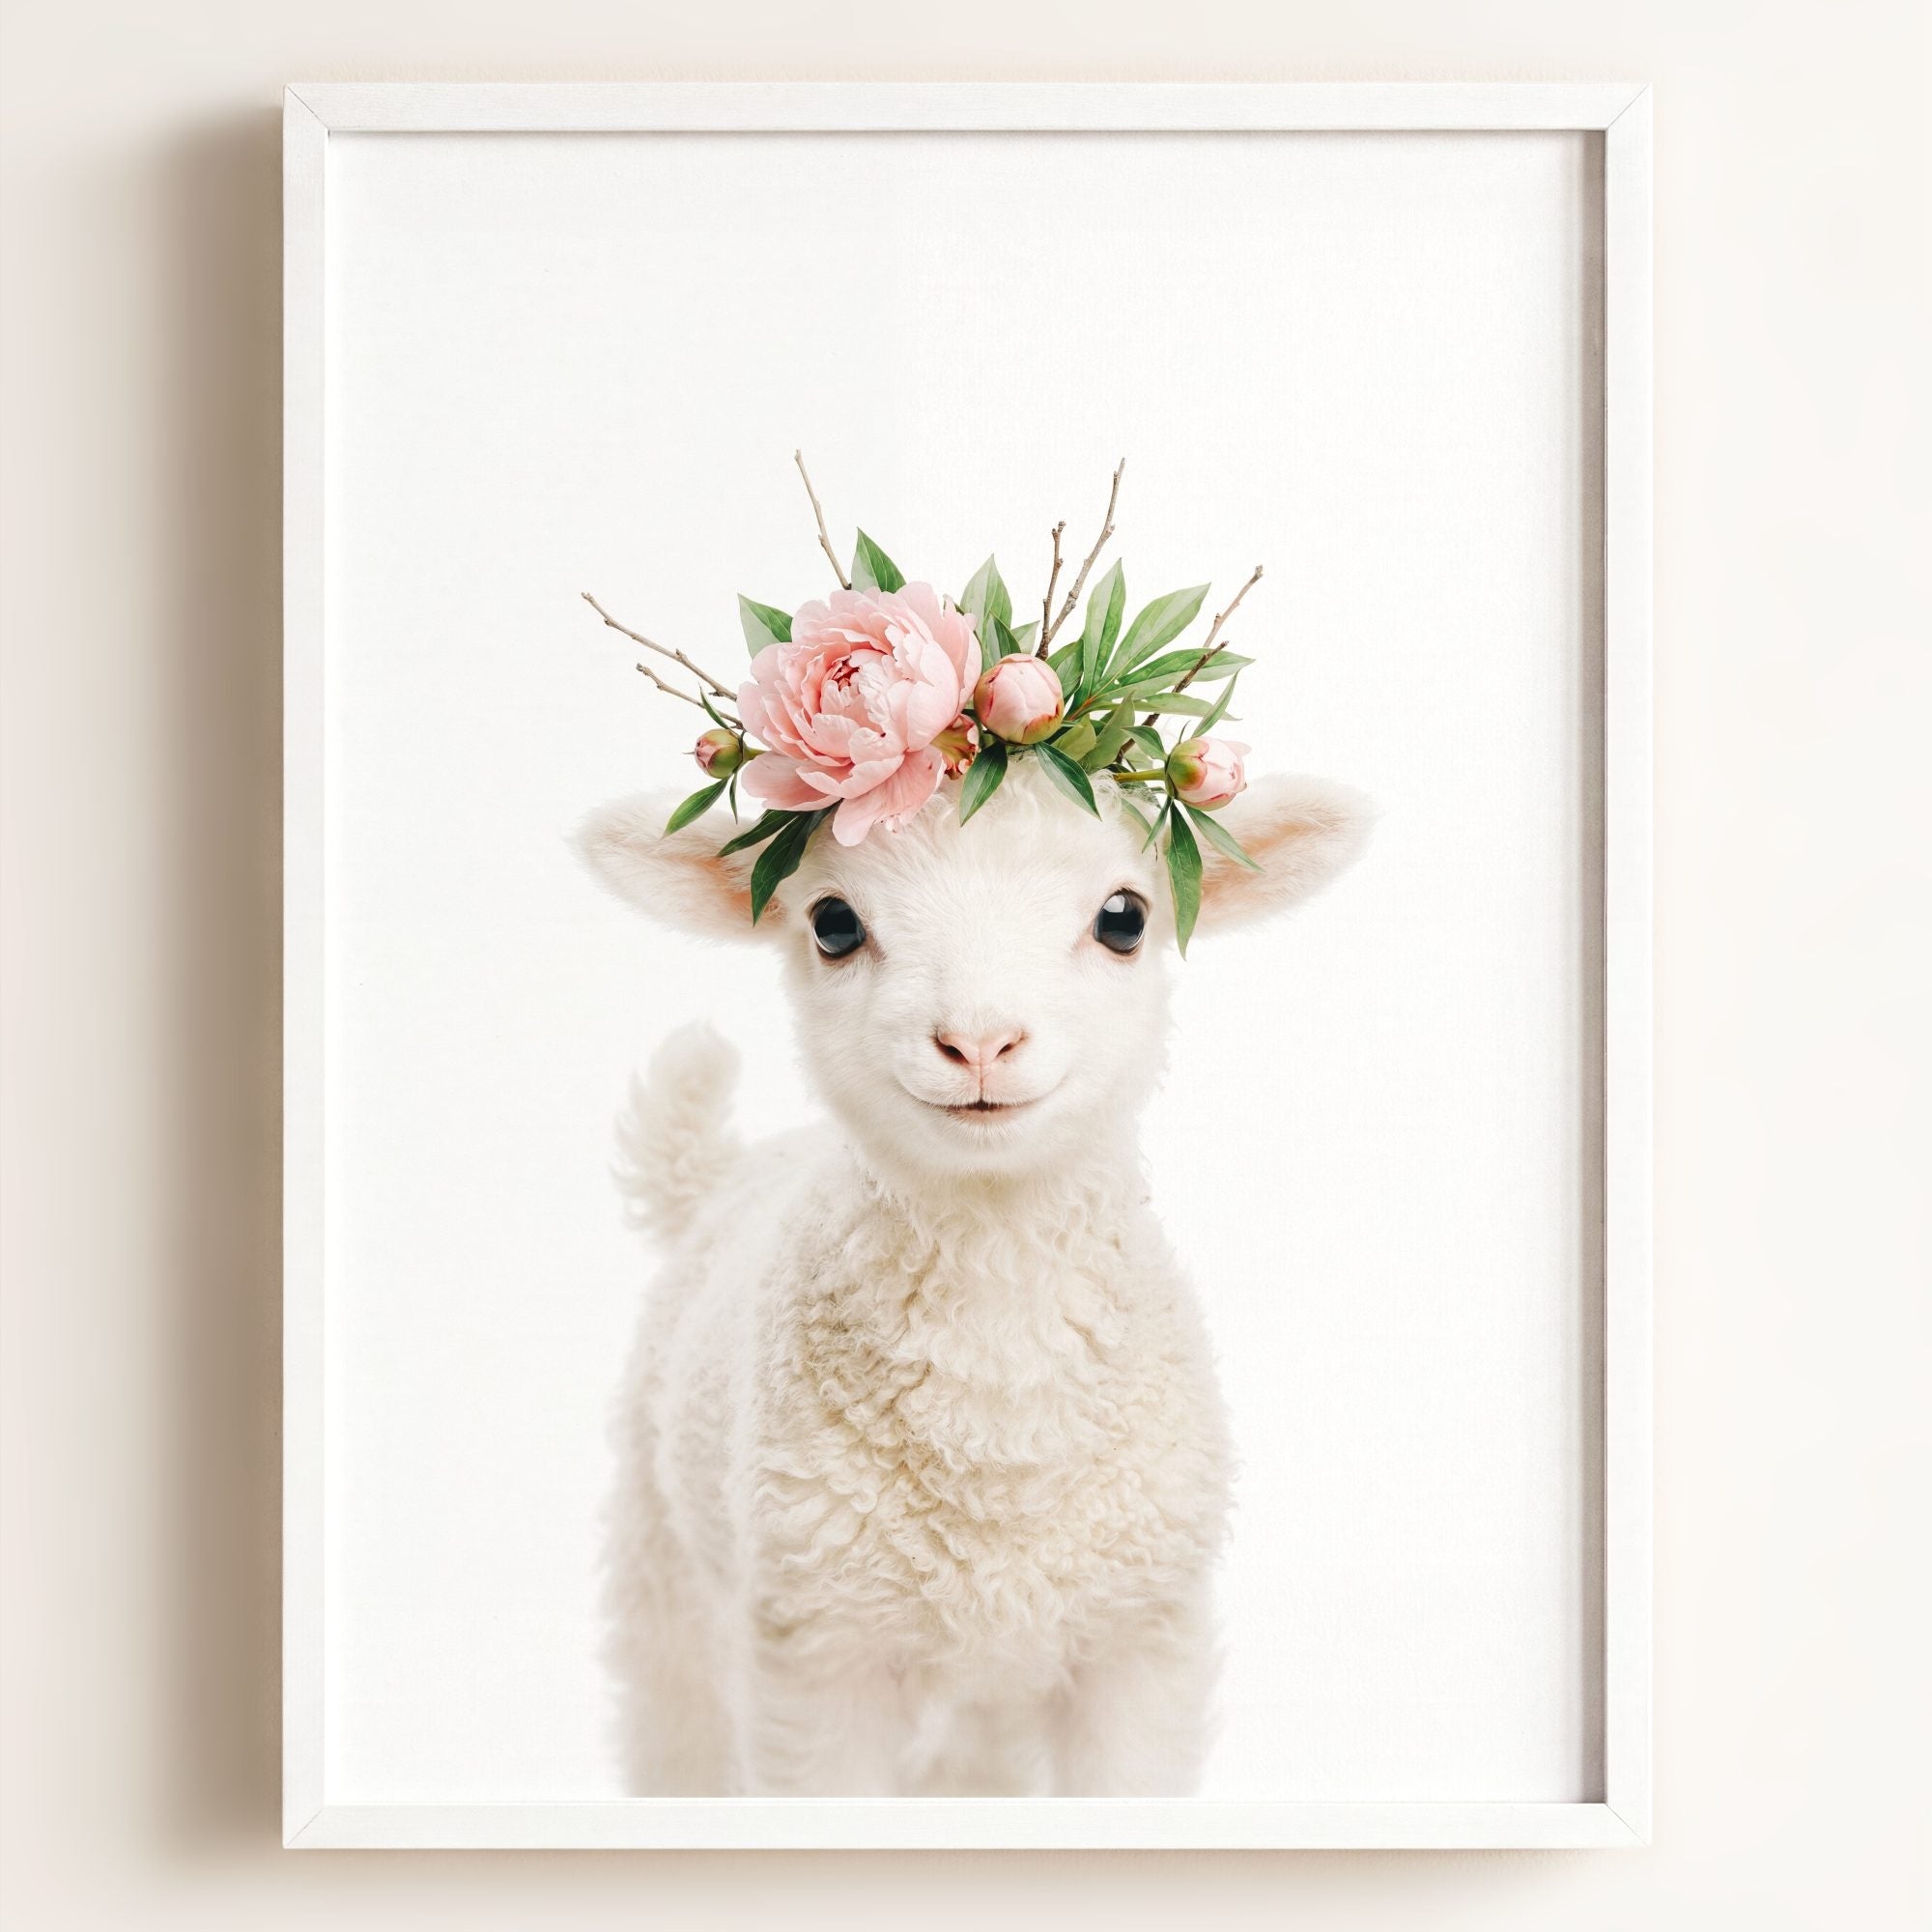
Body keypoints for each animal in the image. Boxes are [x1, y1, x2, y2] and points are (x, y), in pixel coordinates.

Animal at [575, 755, 1370, 1796]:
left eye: (1124, 918)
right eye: (834, 923)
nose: (980, 1042)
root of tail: (719, 1174)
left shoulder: (1139, 1640)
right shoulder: (817, 1654)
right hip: (665, 1567)